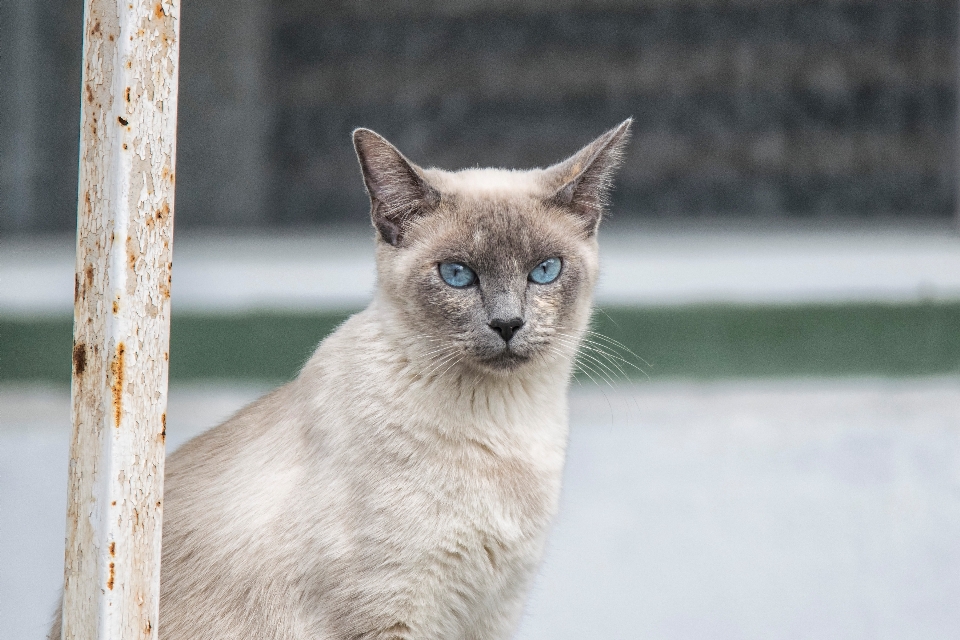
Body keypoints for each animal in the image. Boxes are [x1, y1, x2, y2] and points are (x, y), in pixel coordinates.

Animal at [50, 119, 632, 640]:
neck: (502, 429)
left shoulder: (493, 614)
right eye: (457, 275)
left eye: (545, 271)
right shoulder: (388, 615)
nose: (508, 324)